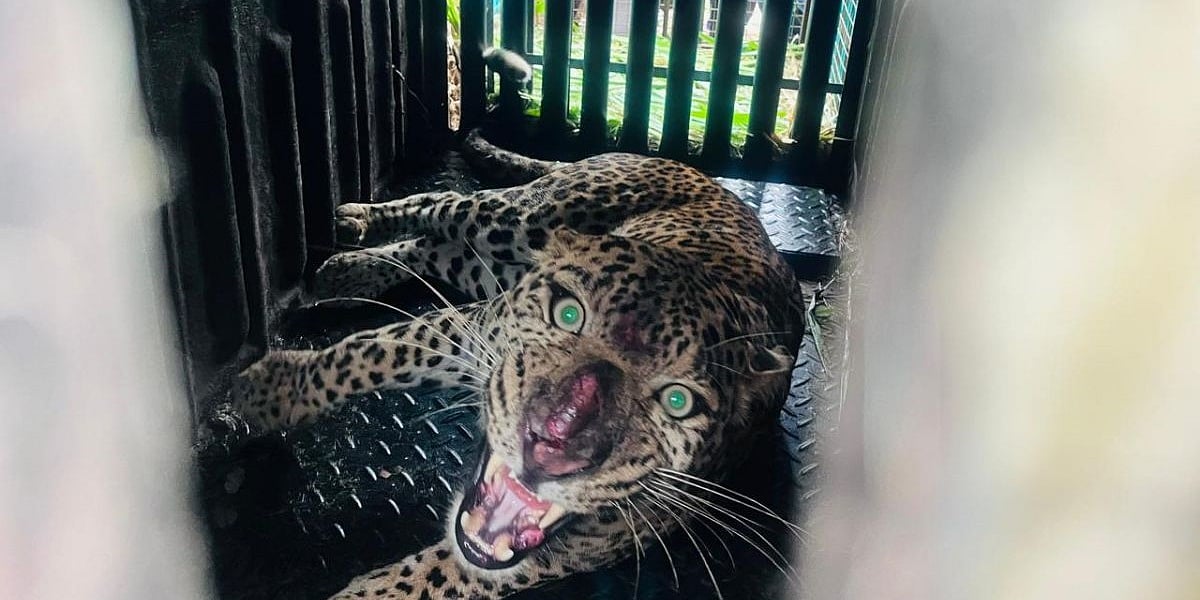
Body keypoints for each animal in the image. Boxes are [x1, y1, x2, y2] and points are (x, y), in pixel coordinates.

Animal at [232, 129, 808, 599]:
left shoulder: (571, 548)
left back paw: (347, 269)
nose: (550, 450)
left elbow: (433, 577)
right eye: (568, 314)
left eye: (678, 401)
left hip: (486, 266)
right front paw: (265, 395)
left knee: (432, 248)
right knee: (443, 205)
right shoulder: (467, 330)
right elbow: (368, 352)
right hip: (523, 216)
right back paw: (354, 222)